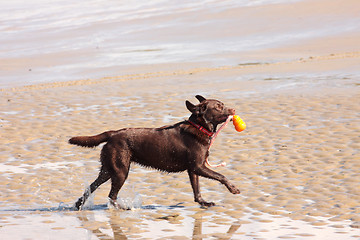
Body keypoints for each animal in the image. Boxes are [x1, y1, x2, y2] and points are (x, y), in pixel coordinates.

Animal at [69, 95, 240, 210]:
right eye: (218, 107)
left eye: (223, 104)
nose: (234, 109)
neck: (199, 127)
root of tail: (112, 134)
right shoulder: (198, 167)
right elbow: (221, 176)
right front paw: (233, 188)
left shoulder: (193, 170)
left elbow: (196, 190)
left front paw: (204, 202)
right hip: (120, 171)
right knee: (111, 195)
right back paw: (121, 208)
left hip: (108, 170)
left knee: (91, 187)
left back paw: (78, 205)